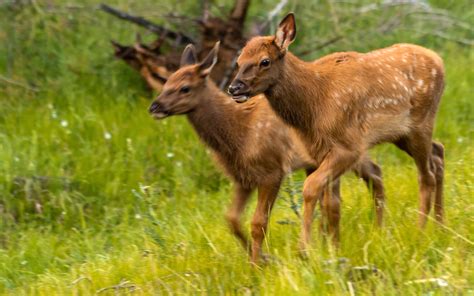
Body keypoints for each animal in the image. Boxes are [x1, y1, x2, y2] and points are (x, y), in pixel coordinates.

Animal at [150, 42, 386, 262]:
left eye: (185, 88)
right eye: (166, 82)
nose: (154, 107)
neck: (239, 133)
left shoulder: (271, 171)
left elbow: (258, 223)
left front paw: (258, 264)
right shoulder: (242, 178)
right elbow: (232, 219)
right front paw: (260, 257)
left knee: (372, 174)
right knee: (369, 175)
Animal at [231, 12, 446, 251]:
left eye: (264, 61)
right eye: (239, 61)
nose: (234, 88)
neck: (313, 105)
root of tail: (439, 60)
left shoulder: (349, 147)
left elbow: (311, 188)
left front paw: (305, 249)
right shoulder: (320, 151)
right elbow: (331, 204)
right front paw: (332, 250)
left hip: (421, 122)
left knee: (426, 175)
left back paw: (421, 233)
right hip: (402, 134)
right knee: (438, 152)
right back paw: (440, 227)